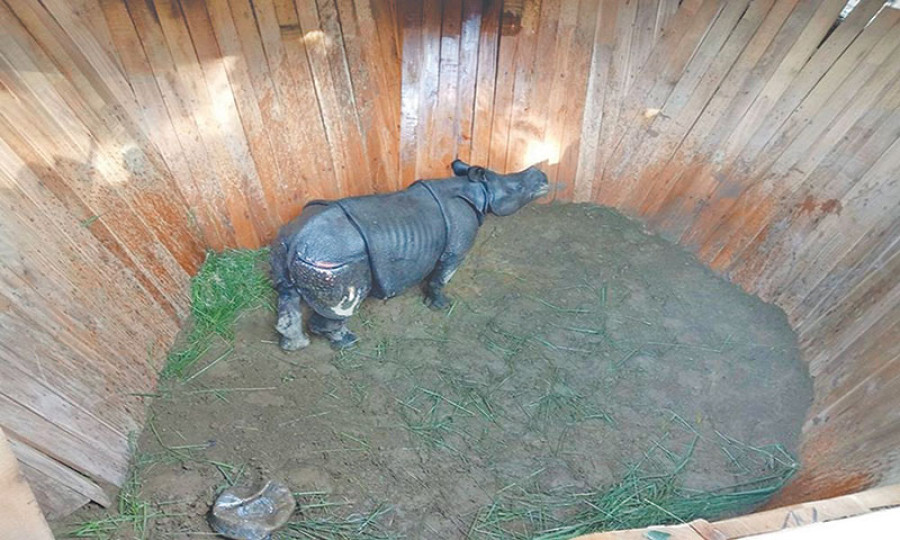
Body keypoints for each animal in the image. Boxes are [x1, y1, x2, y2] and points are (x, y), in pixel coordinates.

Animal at [270, 159, 549, 351]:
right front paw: (441, 306)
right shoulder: (456, 248)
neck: (476, 189)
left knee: (287, 291)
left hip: (284, 245)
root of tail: (296, 240)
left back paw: (295, 346)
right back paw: (347, 342)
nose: (543, 176)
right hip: (334, 261)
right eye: (517, 186)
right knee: (343, 308)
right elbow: (442, 276)